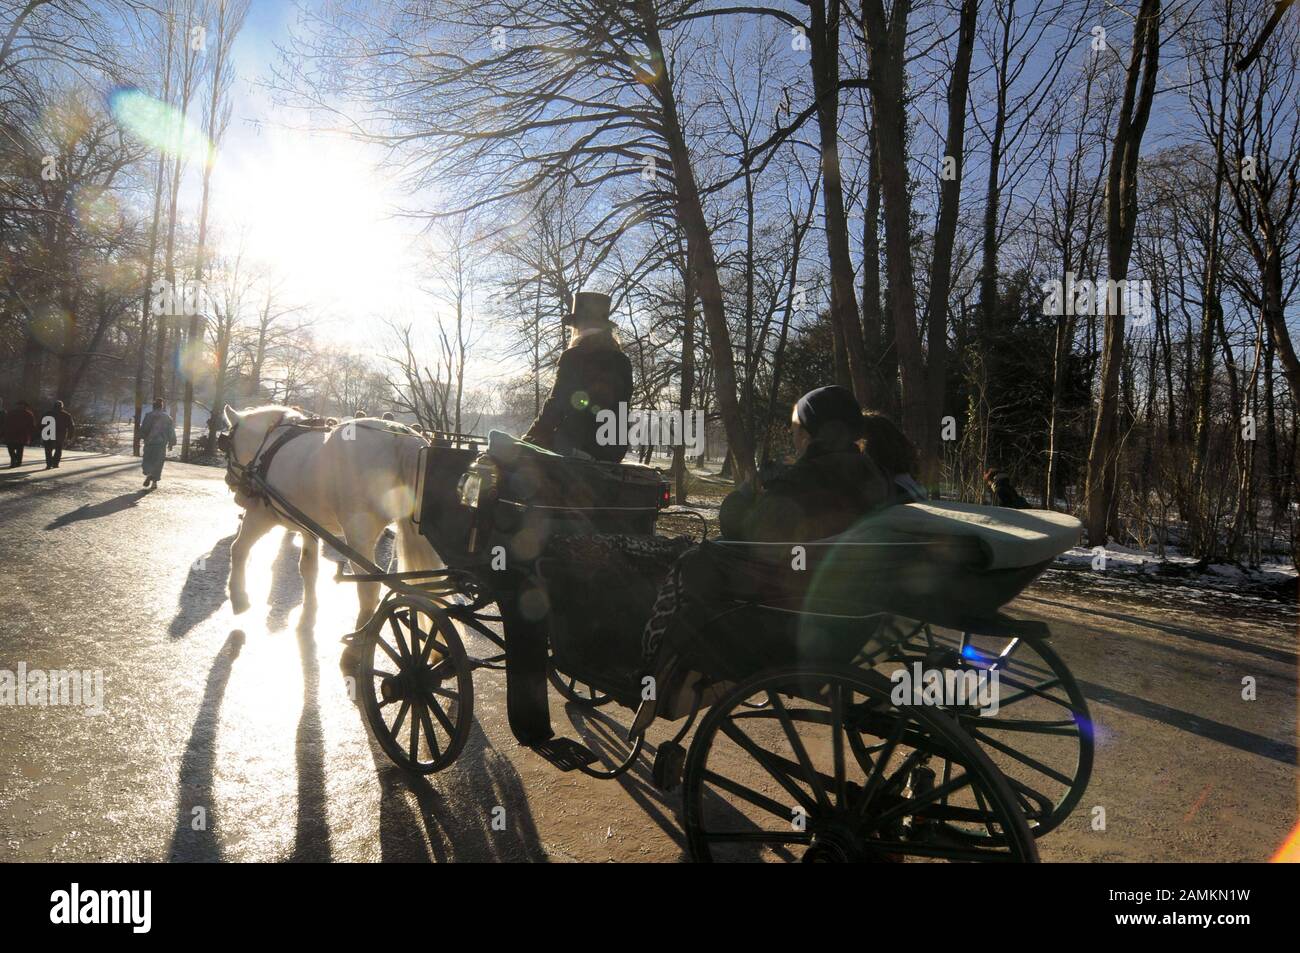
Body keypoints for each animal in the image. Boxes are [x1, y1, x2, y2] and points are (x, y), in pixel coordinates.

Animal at [223, 405, 441, 629]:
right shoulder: (309, 526)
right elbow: (309, 568)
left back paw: (361, 633)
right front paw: (309, 612)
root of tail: (403, 438)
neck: (271, 443)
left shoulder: (261, 515)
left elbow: (239, 548)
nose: (232, 485)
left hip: (357, 533)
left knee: (369, 587)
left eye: (226, 444)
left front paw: (238, 596)